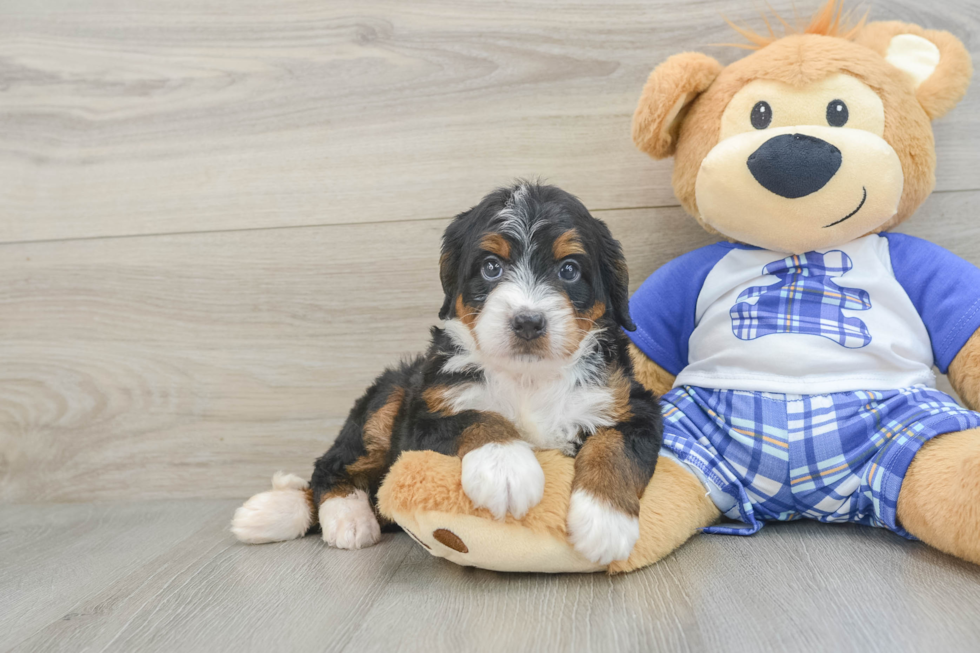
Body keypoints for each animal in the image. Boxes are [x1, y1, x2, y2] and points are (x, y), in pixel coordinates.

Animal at [233, 181, 664, 564]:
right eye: (491, 267)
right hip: (390, 395)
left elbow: (615, 447)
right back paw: (333, 517)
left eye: (570, 270)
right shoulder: (425, 415)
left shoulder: (635, 404)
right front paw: (505, 467)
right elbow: (477, 417)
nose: (527, 322)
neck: (528, 379)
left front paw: (604, 521)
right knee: (330, 467)